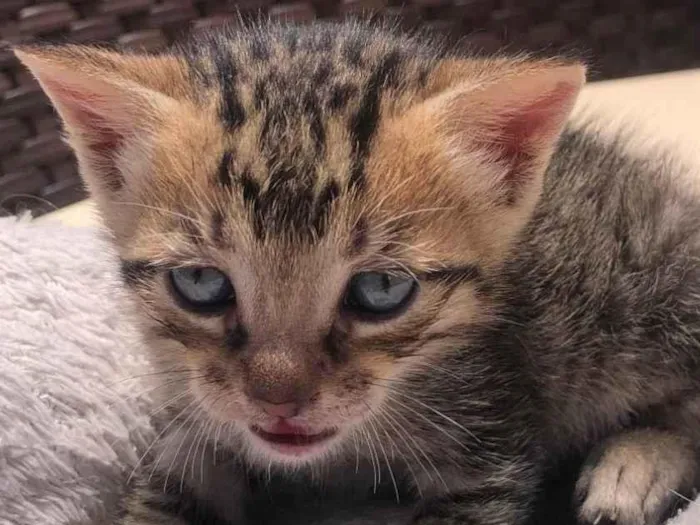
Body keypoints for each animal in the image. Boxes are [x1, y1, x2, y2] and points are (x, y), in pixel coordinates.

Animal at [15, 19, 700, 524]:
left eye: (381, 289)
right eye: (202, 285)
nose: (279, 402)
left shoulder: (489, 428)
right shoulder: (191, 419)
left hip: (643, 291)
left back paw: (633, 468)